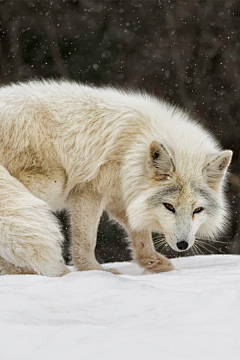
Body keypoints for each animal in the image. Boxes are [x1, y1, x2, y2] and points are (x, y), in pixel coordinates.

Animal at [0, 79, 232, 276]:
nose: (182, 245)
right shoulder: (90, 191)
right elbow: (87, 241)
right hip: (48, 185)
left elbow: (140, 234)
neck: (132, 149)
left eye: (197, 210)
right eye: (169, 207)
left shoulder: (123, 197)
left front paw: (155, 264)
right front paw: (94, 273)